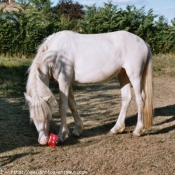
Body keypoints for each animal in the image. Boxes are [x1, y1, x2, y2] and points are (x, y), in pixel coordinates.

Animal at [24, 30, 153, 145]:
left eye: (48, 116)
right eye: (32, 117)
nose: (43, 141)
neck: (56, 55)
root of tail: (144, 43)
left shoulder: (64, 80)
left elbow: (63, 107)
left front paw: (61, 135)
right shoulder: (68, 83)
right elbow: (72, 104)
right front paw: (77, 130)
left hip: (134, 76)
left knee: (140, 99)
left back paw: (137, 131)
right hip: (123, 75)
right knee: (126, 98)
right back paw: (116, 129)